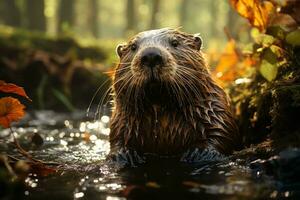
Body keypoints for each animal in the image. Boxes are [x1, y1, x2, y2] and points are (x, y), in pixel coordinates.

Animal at [109, 27, 239, 166]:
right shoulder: (120, 122)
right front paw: (125, 154)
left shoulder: (215, 112)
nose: (151, 56)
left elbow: (219, 133)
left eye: (175, 43)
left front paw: (199, 153)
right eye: (133, 47)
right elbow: (117, 139)